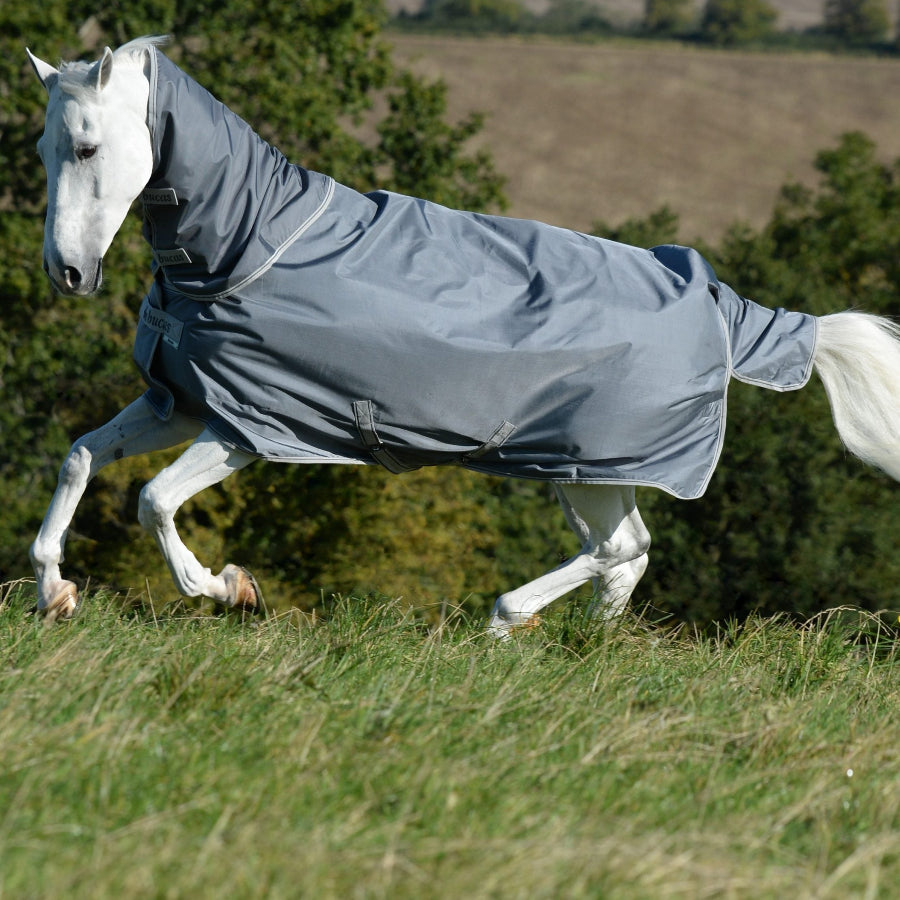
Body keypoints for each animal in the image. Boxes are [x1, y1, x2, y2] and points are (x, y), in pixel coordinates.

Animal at [25, 37, 900, 634]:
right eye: (42, 148)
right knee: (630, 553)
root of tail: (717, 301)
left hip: (591, 462)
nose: (68, 273)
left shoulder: (248, 426)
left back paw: (507, 619)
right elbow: (79, 458)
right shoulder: (177, 402)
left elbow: (152, 502)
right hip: (582, 469)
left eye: (89, 147)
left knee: (619, 550)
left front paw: (229, 587)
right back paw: (581, 649)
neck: (242, 250)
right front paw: (55, 592)